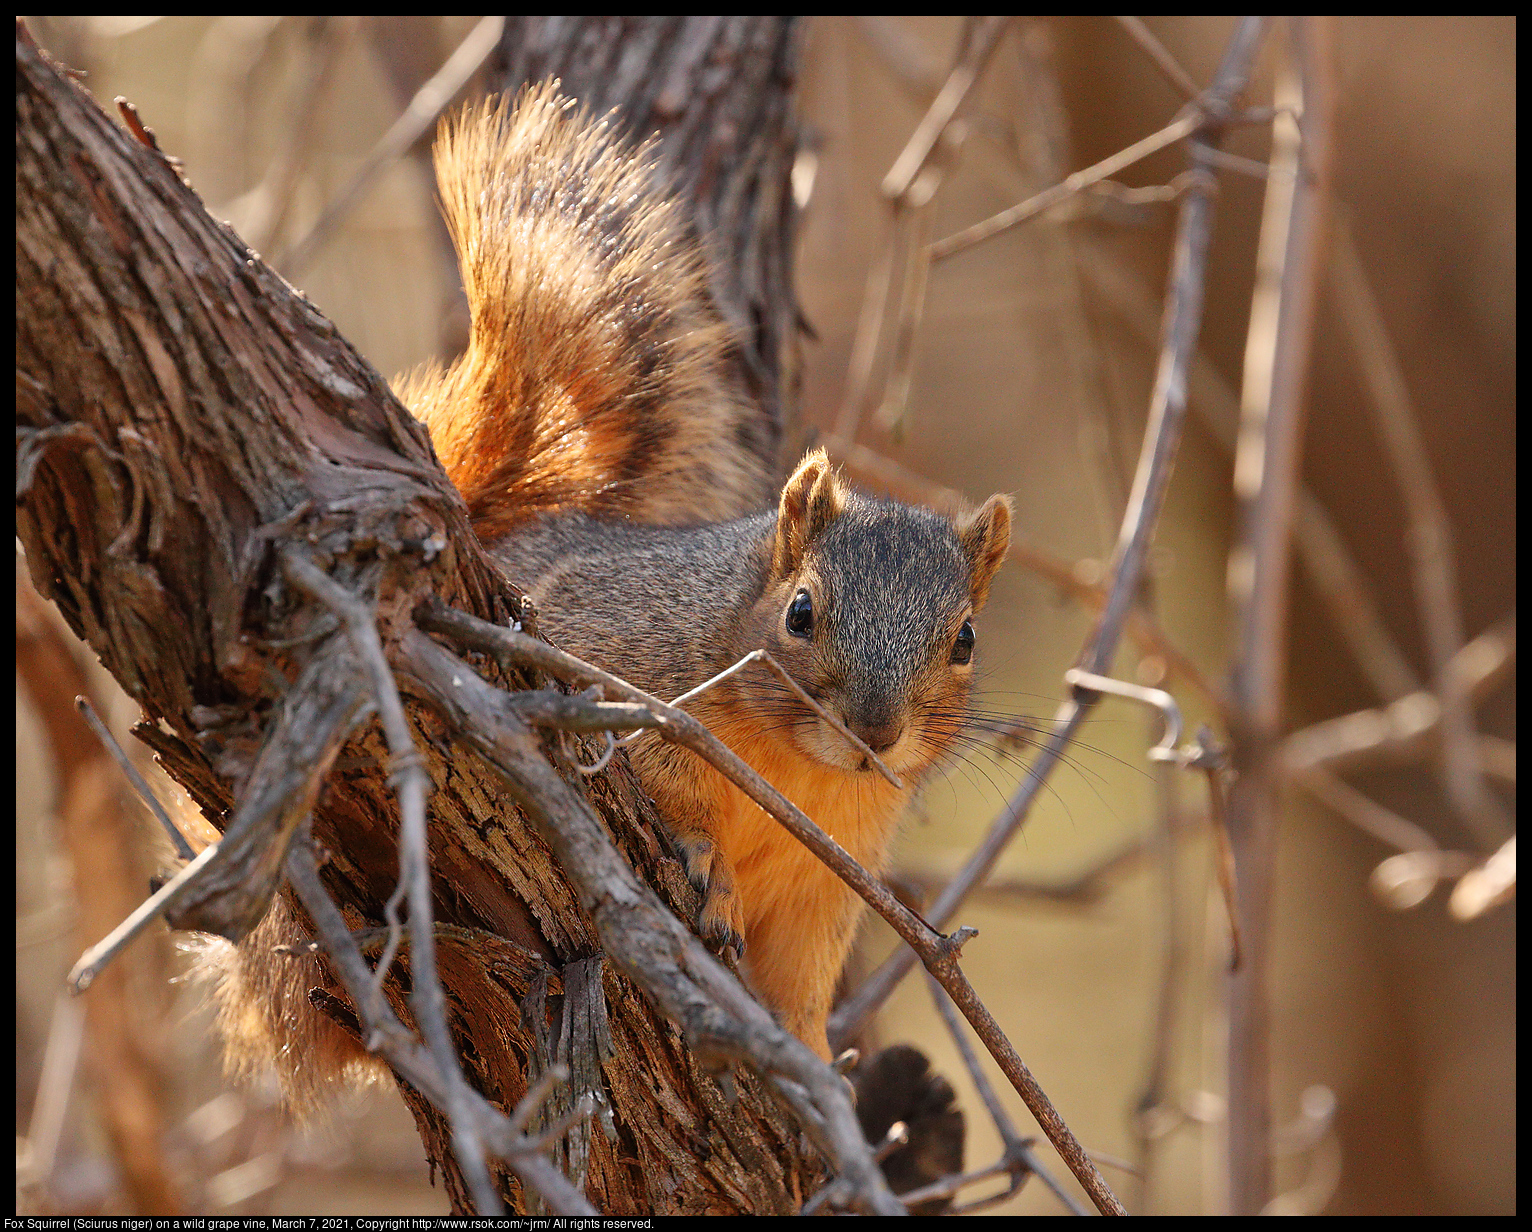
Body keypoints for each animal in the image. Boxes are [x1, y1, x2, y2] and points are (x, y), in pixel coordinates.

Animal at [206, 81, 1017, 1091]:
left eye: (966, 639)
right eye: (800, 612)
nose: (873, 731)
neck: (800, 769)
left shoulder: (830, 880)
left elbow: (801, 979)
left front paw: (816, 1059)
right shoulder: (608, 658)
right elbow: (659, 777)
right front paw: (705, 859)